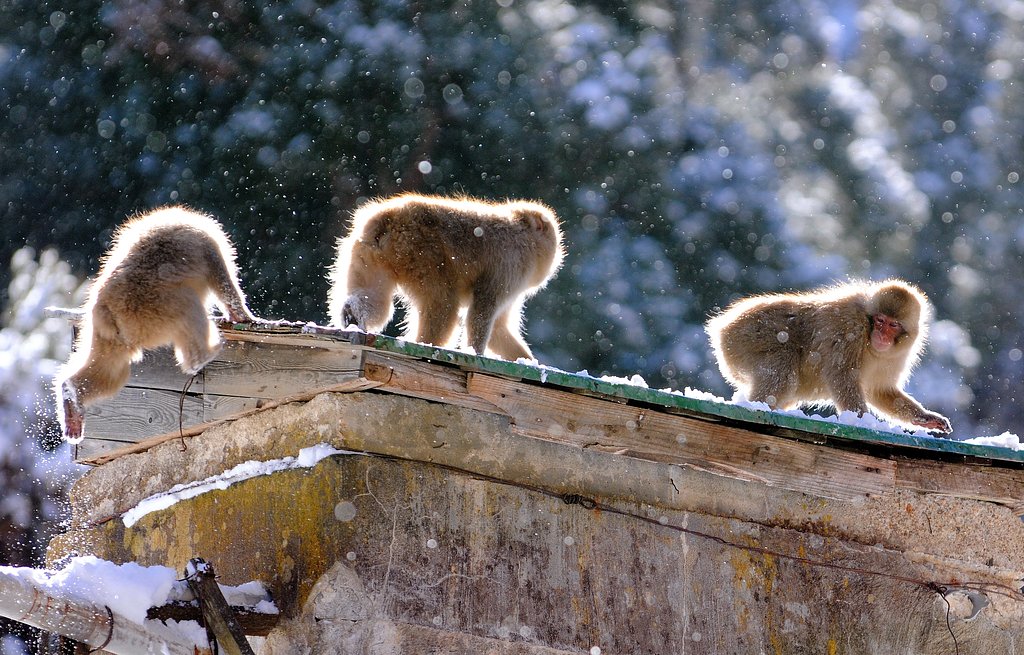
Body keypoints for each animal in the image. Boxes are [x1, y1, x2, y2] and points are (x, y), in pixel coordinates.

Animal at [55, 206, 258, 441]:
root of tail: (105, 308)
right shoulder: (205, 245)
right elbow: (222, 280)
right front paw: (241, 315)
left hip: (111, 331)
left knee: (112, 370)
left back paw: (72, 398)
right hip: (150, 307)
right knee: (188, 306)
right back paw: (201, 357)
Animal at [328, 194, 564, 361]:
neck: (522, 235)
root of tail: (389, 219)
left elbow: (498, 329)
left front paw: (529, 361)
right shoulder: (510, 267)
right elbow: (481, 313)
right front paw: (476, 352)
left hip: (366, 253)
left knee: (373, 299)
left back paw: (352, 315)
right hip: (423, 253)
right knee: (444, 303)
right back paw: (426, 344)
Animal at [705, 279, 952, 433]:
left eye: (893, 325)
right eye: (880, 320)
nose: (881, 335)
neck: (868, 338)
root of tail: (723, 326)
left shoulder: (896, 357)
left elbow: (880, 391)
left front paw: (925, 418)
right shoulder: (850, 329)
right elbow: (841, 375)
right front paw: (862, 421)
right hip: (747, 339)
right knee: (783, 371)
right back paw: (758, 406)